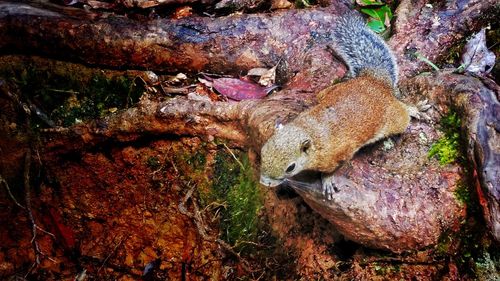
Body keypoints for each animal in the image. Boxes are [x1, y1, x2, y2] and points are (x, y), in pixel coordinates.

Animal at [258, 12, 418, 197]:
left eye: (291, 167)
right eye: (262, 152)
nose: (264, 182)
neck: (311, 131)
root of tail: (374, 81)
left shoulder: (343, 153)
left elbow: (334, 169)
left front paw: (327, 181)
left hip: (394, 119)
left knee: (402, 115)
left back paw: (413, 109)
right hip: (328, 92)